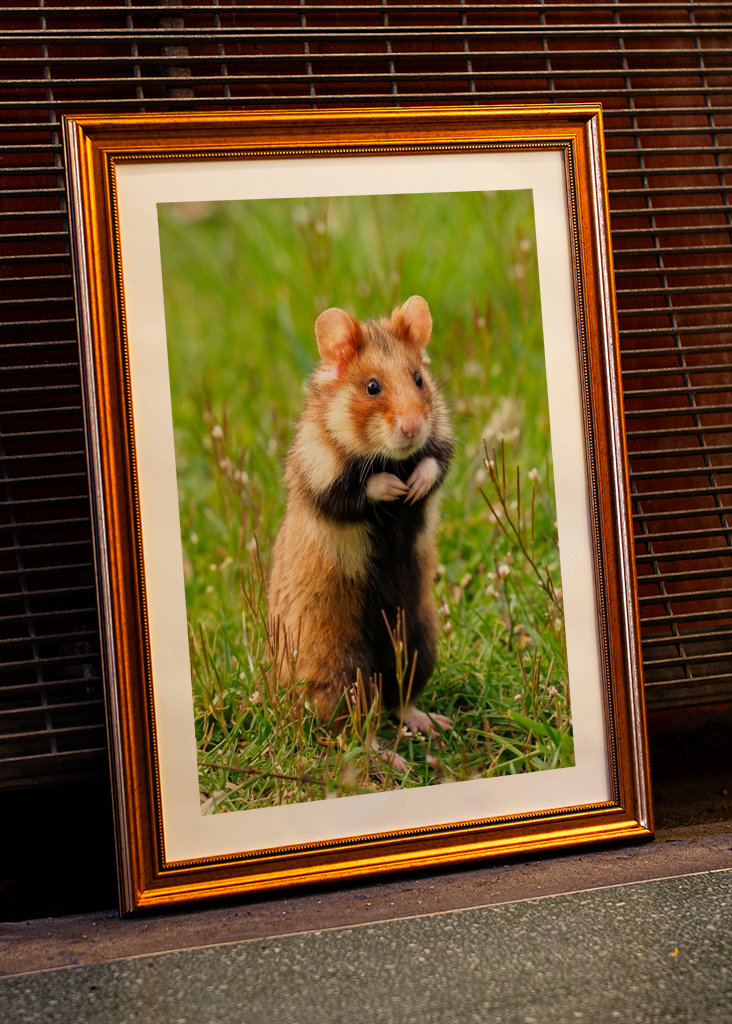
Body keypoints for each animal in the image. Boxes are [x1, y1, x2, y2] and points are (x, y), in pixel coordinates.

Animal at [267, 295, 454, 740]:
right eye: (372, 387)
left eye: (418, 379)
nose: (412, 427)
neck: (392, 457)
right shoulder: (318, 474)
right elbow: (358, 489)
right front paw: (394, 489)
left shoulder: (442, 439)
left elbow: (434, 464)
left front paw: (413, 487)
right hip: (341, 667)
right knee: (354, 728)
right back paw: (388, 753)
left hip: (419, 639)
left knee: (397, 699)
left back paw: (433, 723)